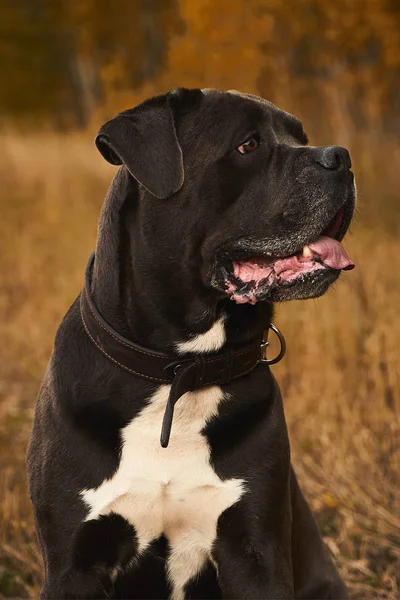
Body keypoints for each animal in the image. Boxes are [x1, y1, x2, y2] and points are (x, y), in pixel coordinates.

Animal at [27, 86, 356, 596]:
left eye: (300, 137)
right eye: (248, 145)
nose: (340, 157)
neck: (179, 372)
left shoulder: (255, 551)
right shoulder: (73, 564)